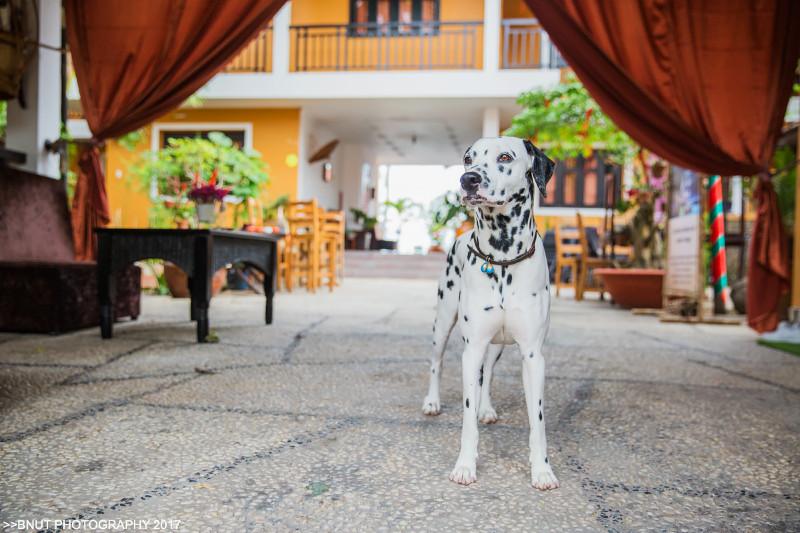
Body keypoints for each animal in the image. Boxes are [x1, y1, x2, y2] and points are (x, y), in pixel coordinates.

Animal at [424, 135, 556, 488]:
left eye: (505, 157)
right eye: (468, 159)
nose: (468, 179)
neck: (502, 258)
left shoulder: (533, 356)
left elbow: (538, 422)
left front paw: (542, 469)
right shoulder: (471, 351)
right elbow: (467, 419)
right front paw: (465, 466)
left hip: (496, 346)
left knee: (490, 375)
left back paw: (486, 408)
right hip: (443, 323)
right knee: (436, 362)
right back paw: (432, 402)